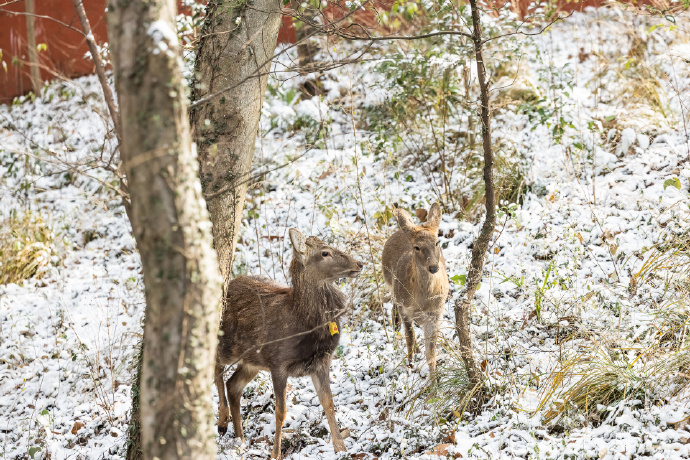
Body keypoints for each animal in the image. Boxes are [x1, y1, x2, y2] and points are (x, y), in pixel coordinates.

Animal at [215, 228, 362, 458]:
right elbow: (281, 412)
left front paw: (341, 448)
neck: (304, 323)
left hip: (252, 361)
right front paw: (275, 453)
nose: (359, 263)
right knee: (213, 364)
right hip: (229, 345)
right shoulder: (278, 363)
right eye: (325, 253)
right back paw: (222, 421)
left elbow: (329, 403)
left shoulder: (321, 362)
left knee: (233, 385)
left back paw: (240, 439)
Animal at [378, 203, 448, 380]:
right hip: (390, 284)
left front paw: (433, 380)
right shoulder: (405, 308)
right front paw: (410, 365)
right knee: (395, 311)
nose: (433, 267)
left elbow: (431, 353)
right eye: (417, 247)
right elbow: (409, 337)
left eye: (437, 242)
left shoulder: (436, 314)